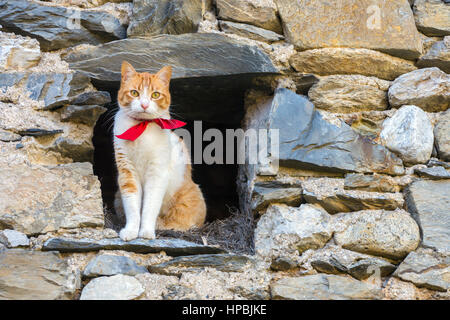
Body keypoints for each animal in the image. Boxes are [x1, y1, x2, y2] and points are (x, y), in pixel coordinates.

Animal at [112, 60, 206, 240]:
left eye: (155, 95)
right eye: (134, 93)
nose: (144, 104)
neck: (142, 127)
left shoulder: (157, 174)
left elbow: (150, 206)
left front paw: (147, 231)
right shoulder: (127, 173)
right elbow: (133, 207)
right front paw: (132, 230)